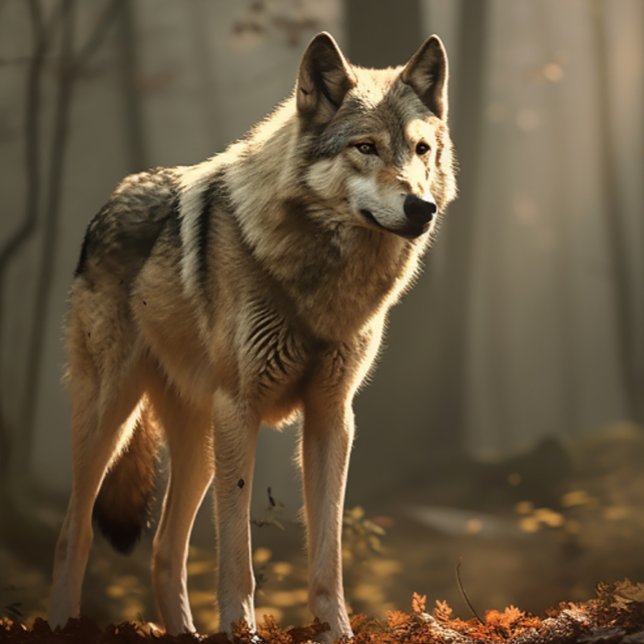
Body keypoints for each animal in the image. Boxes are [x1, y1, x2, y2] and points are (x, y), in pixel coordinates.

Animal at [49, 32, 456, 642]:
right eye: (365, 147)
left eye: (421, 149)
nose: (421, 207)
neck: (318, 278)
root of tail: (114, 196)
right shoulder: (240, 408)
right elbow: (238, 555)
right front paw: (241, 628)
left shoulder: (333, 416)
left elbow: (327, 554)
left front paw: (336, 631)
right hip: (113, 420)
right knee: (72, 534)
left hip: (198, 445)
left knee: (164, 551)